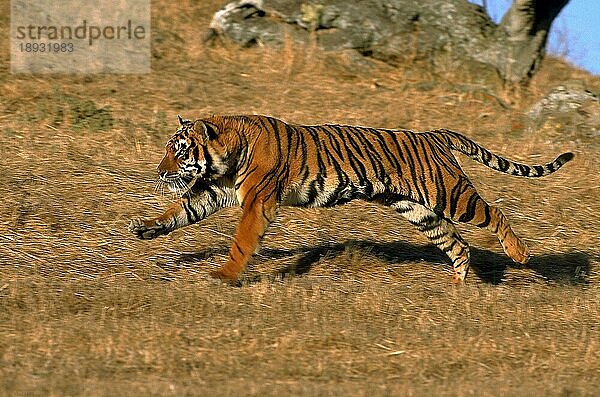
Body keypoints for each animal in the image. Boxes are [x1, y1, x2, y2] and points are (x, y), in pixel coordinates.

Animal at [129, 113, 576, 284]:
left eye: (179, 152)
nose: (159, 172)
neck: (225, 158)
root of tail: (433, 134)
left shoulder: (257, 201)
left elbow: (241, 240)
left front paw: (225, 275)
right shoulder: (213, 192)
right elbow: (179, 210)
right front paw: (145, 228)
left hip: (450, 194)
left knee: (495, 212)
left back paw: (519, 255)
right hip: (419, 210)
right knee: (457, 244)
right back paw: (458, 286)